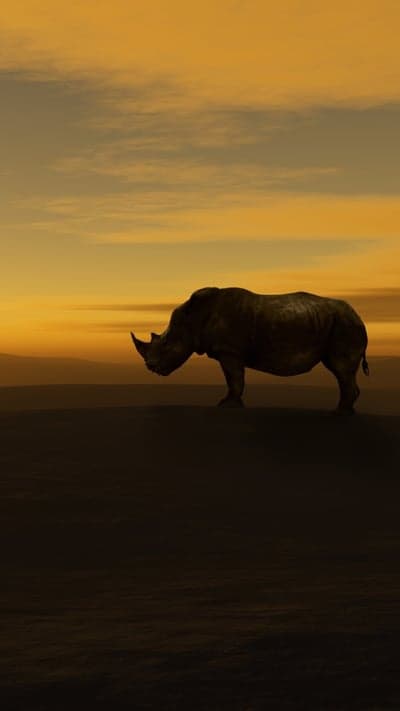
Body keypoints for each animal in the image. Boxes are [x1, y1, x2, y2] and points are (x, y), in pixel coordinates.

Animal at [131, 287, 369, 413]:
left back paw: (338, 414)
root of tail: (358, 316)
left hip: (345, 325)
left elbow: (234, 378)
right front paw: (231, 404)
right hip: (337, 323)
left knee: (341, 369)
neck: (194, 318)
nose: (150, 367)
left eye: (166, 344)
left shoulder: (229, 351)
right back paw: (345, 412)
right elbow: (235, 379)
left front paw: (227, 406)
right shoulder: (229, 351)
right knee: (341, 372)